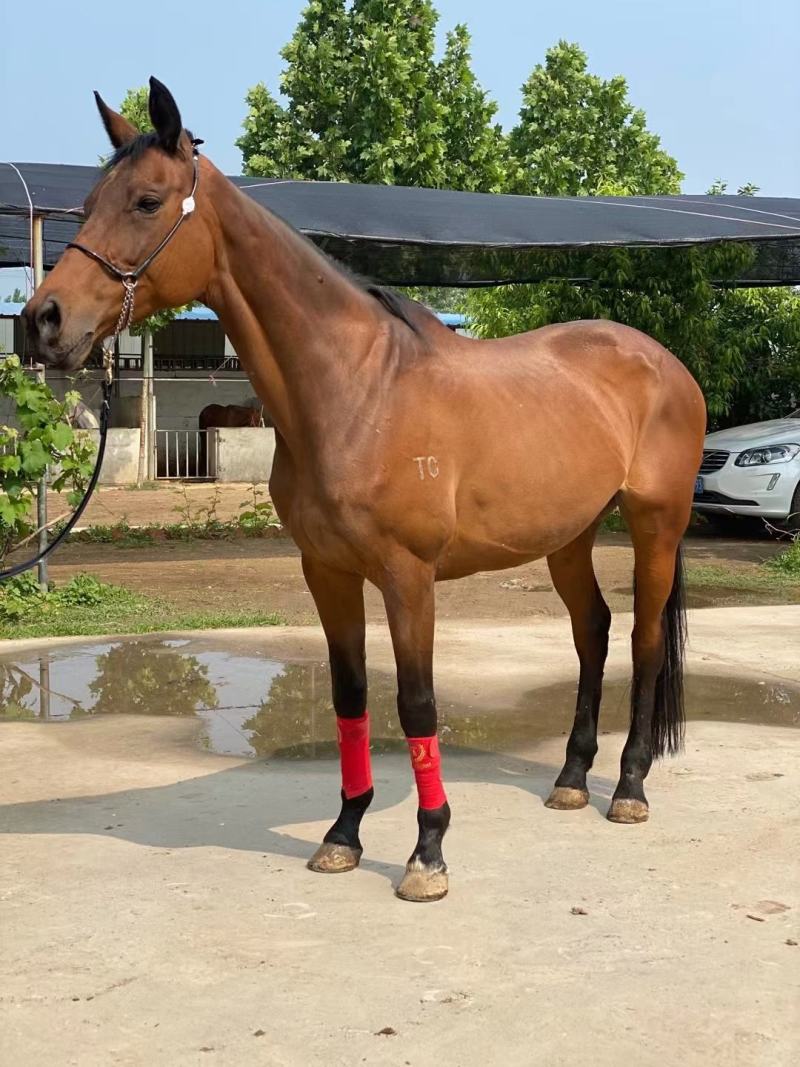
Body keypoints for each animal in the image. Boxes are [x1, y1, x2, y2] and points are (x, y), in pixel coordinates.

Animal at [22, 79, 706, 902]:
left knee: (642, 641)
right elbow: (350, 696)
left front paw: (427, 853)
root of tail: (661, 361)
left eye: (148, 201)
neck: (357, 390)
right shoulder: (328, 571)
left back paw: (629, 787)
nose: (41, 321)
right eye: (90, 201)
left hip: (655, 524)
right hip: (568, 535)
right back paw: (572, 778)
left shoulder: (409, 579)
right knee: (593, 632)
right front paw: (343, 833)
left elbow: (417, 704)